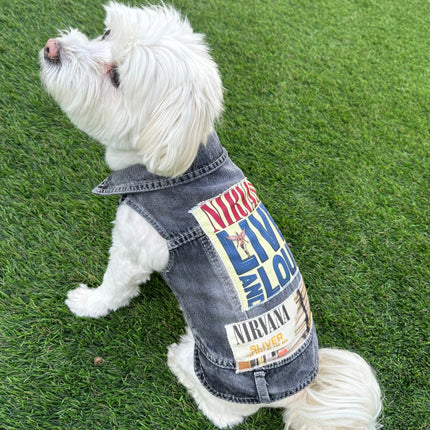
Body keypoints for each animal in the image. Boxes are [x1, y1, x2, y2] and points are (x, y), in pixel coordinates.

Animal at [39, 2, 382, 426]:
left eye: (116, 77)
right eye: (106, 34)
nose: (52, 47)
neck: (176, 164)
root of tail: (299, 391)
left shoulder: (132, 249)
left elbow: (115, 286)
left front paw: (88, 303)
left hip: (213, 374)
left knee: (220, 413)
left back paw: (179, 362)